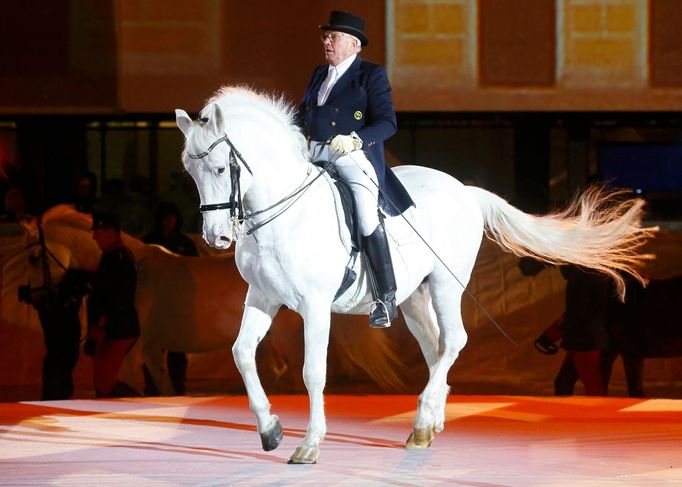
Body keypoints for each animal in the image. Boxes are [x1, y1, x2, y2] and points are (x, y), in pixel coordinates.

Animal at [174, 85, 652, 466]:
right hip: (415, 296)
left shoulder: (315, 306)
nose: (216, 237)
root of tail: (465, 190)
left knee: (454, 339)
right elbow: (241, 354)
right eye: (190, 172)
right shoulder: (262, 296)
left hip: (445, 284)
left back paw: (422, 419)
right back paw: (429, 423)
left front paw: (308, 445)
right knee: (435, 346)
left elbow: (313, 371)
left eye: (221, 168)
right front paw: (271, 429)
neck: (284, 213)